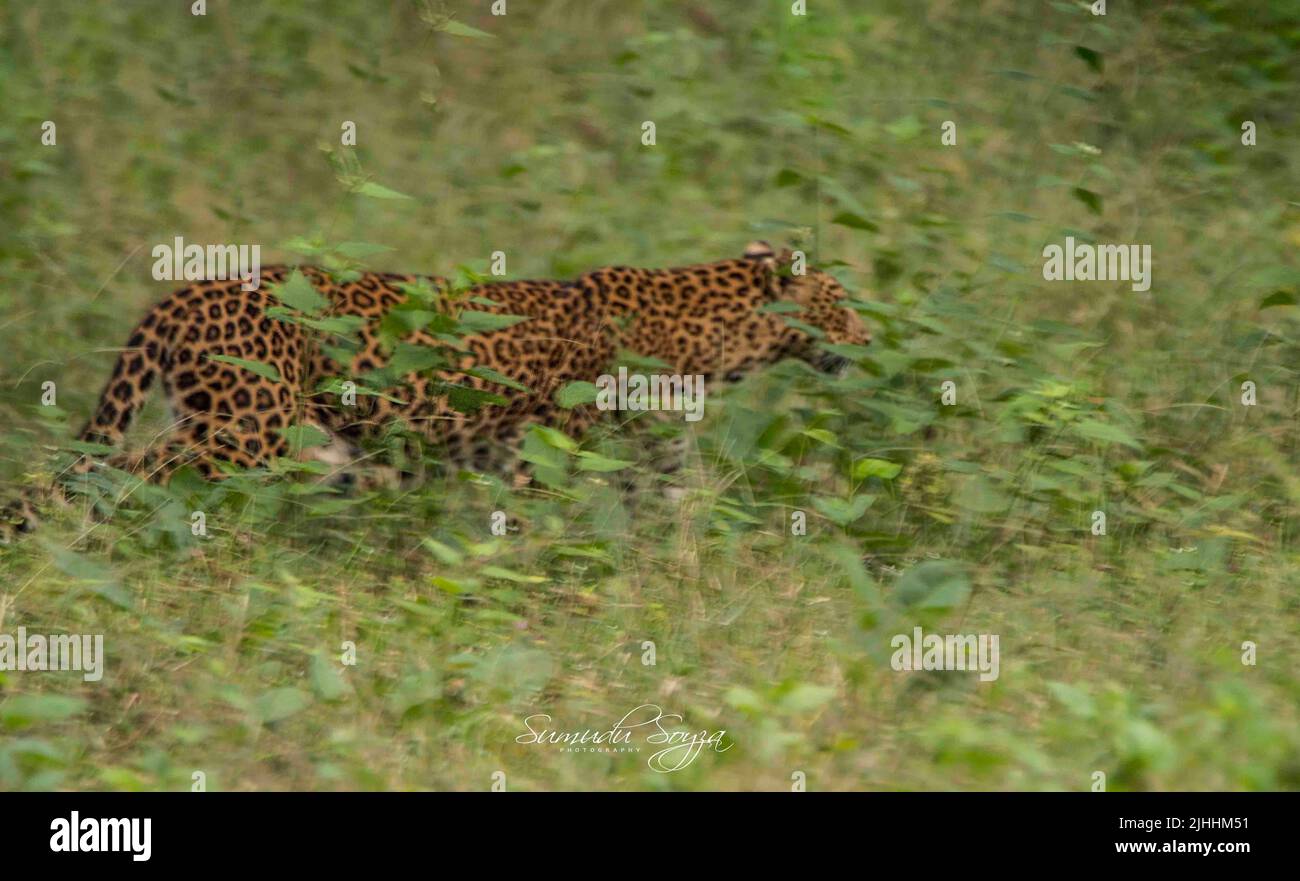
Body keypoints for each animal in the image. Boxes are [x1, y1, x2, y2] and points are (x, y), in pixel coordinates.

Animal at [5, 245, 873, 543]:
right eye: (840, 302)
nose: (869, 339)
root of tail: (185, 293)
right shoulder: (543, 454)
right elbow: (535, 531)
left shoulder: (648, 459)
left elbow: (690, 511)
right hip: (240, 433)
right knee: (107, 475)